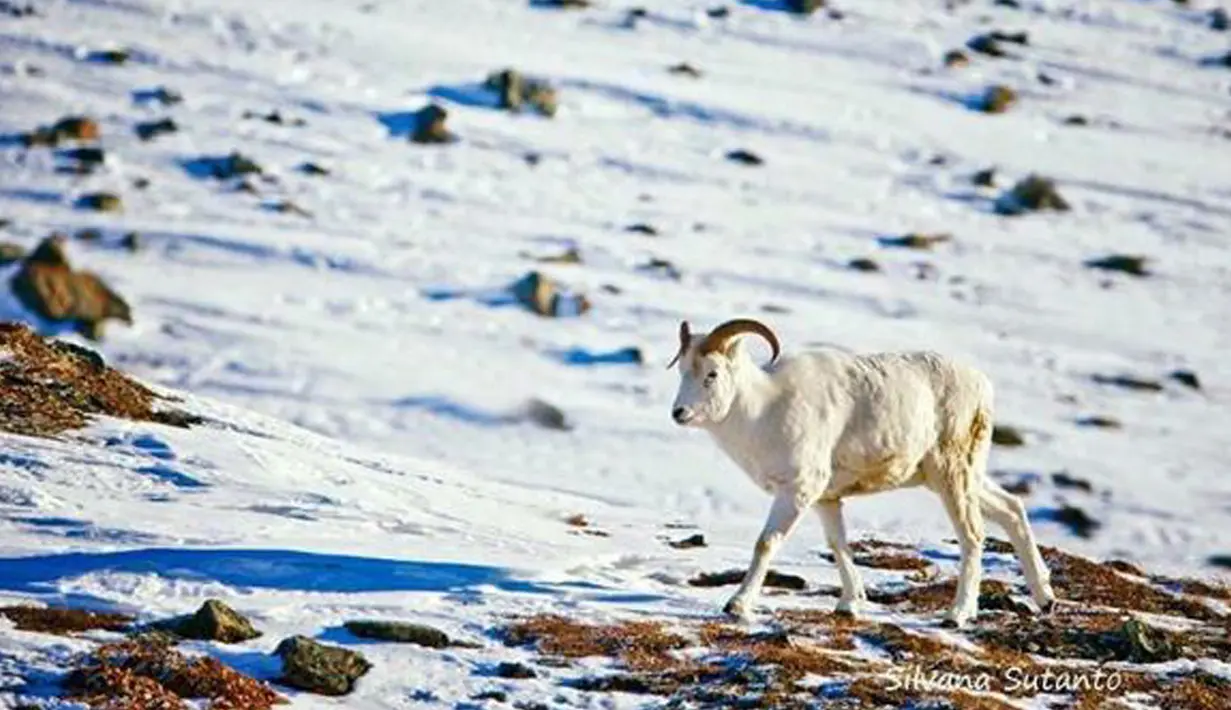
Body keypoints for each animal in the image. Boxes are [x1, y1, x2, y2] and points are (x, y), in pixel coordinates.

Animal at [666, 318, 1056, 628]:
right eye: (683, 370)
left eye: (712, 374)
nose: (679, 413)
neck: (765, 410)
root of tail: (982, 387)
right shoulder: (826, 499)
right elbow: (839, 545)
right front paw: (850, 605)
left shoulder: (798, 491)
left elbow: (766, 543)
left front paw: (737, 605)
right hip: (959, 477)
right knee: (1011, 508)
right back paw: (1045, 598)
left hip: (952, 476)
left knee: (973, 535)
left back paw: (958, 615)